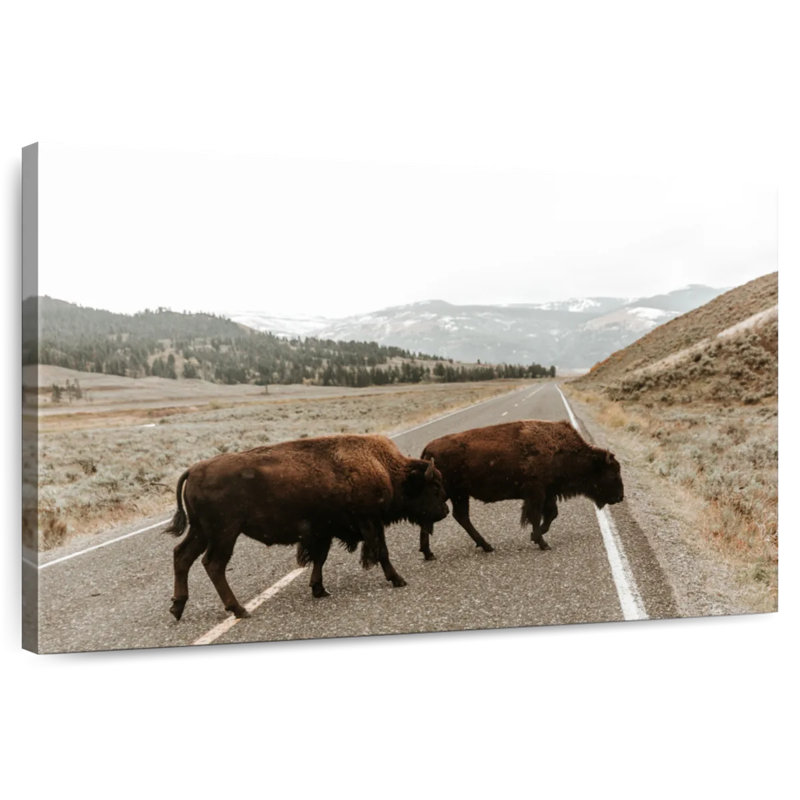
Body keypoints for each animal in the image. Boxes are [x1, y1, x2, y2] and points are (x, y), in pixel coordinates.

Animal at [165, 434, 449, 620]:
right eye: (433, 487)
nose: (445, 511)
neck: (384, 468)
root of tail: (194, 469)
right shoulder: (370, 522)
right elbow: (381, 551)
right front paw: (398, 580)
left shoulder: (324, 532)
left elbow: (319, 558)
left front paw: (319, 590)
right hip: (225, 532)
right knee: (213, 564)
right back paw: (239, 609)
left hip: (202, 531)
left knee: (182, 556)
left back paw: (177, 608)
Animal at [418, 419, 624, 559]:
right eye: (612, 473)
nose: (620, 497)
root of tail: (427, 450)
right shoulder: (537, 493)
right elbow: (536, 516)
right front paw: (542, 543)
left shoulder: (548, 493)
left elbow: (551, 514)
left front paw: (535, 536)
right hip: (451, 494)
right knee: (448, 516)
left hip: (458, 495)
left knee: (455, 517)